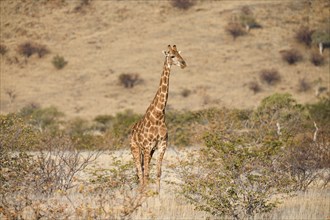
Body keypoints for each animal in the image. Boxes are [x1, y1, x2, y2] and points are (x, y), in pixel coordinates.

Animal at [130, 44, 186, 192]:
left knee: (142, 171)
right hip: (135, 149)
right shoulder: (147, 146)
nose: (184, 64)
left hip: (149, 152)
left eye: (180, 54)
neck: (159, 115)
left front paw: (157, 194)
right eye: (172, 56)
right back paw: (140, 192)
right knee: (140, 172)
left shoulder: (161, 145)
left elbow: (158, 172)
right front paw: (146, 196)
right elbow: (146, 174)